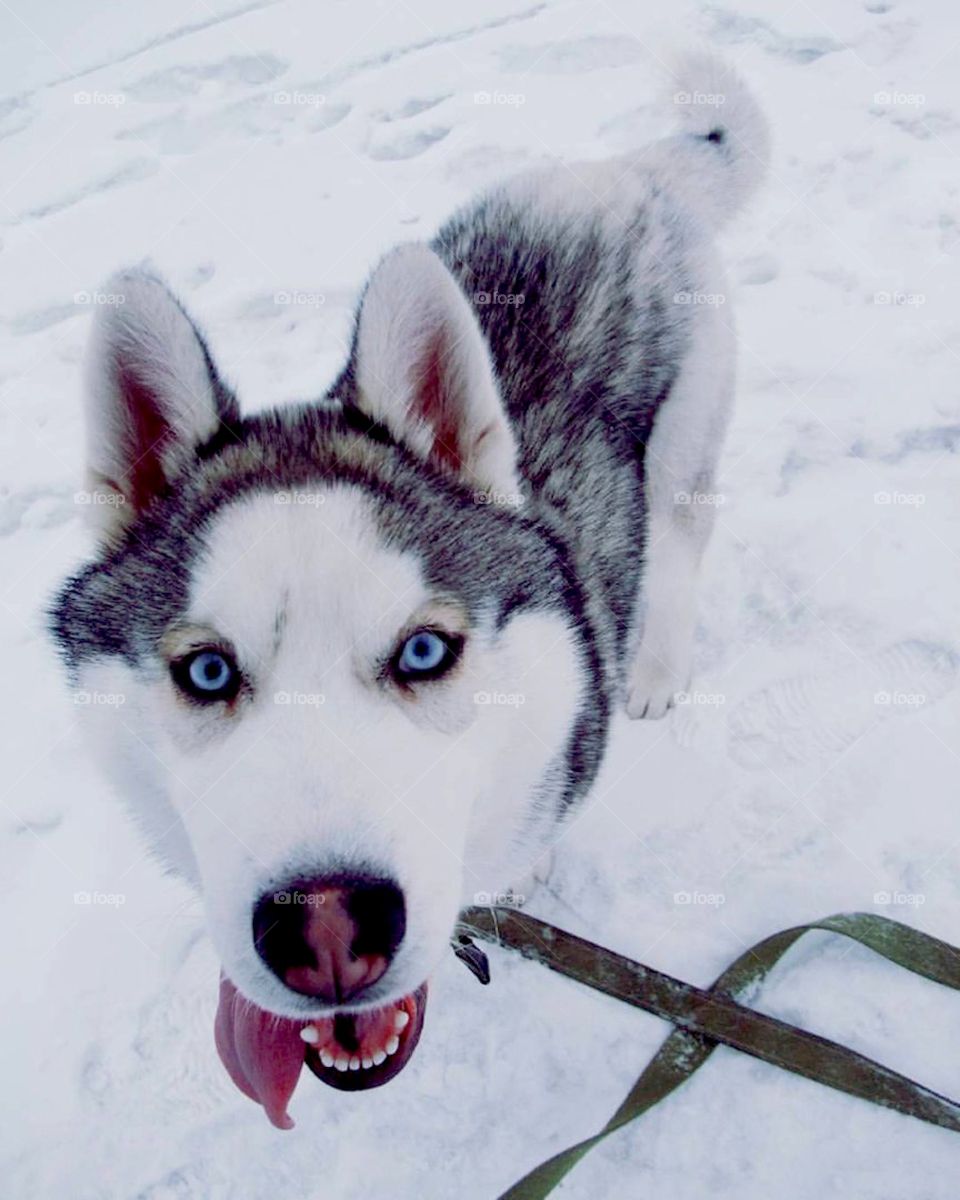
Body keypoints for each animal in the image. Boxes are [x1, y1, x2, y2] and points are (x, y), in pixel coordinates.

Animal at [48, 54, 768, 1123]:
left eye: (425, 651)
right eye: (207, 672)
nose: (326, 931)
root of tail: (622, 174)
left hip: (685, 438)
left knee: (679, 539)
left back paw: (655, 665)